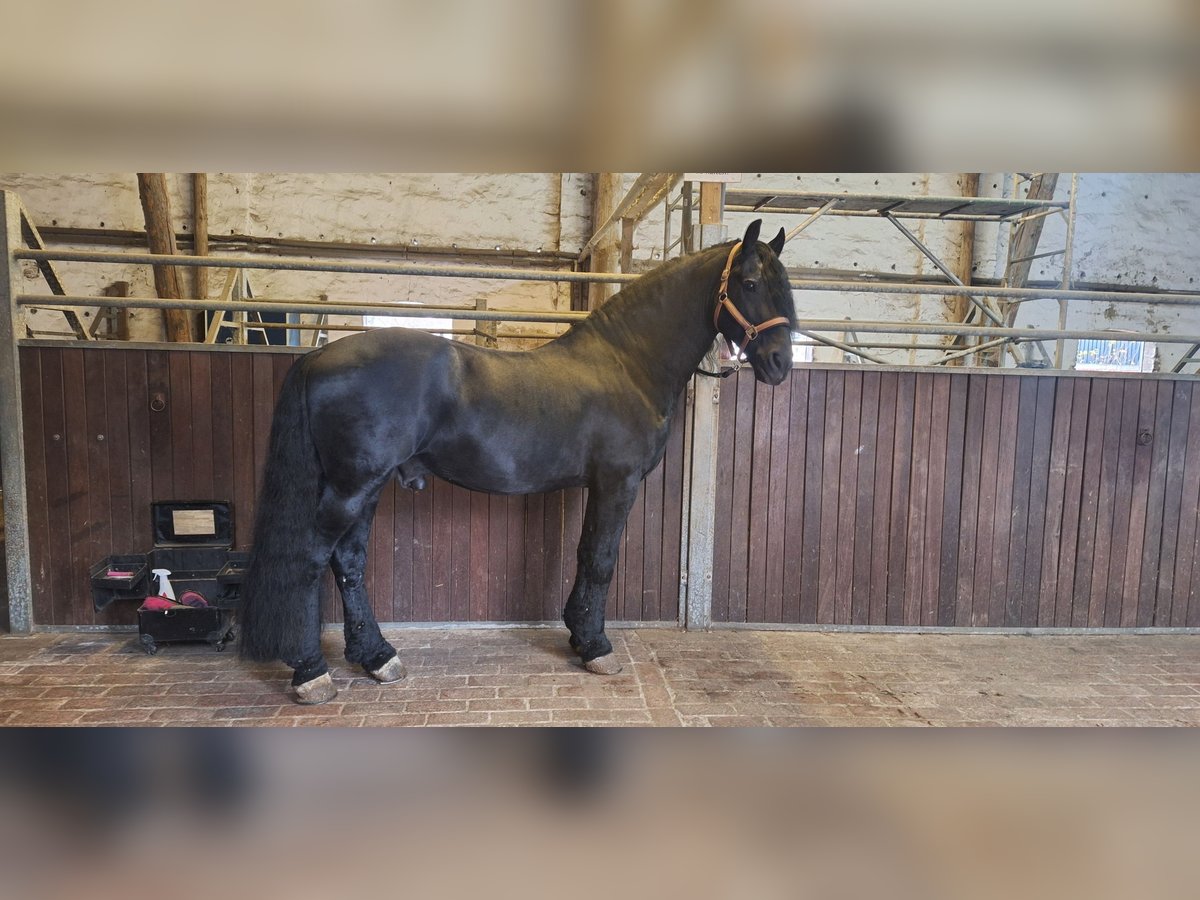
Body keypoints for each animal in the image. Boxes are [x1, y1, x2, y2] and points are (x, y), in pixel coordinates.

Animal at [238, 219, 797, 704]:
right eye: (749, 282)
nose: (779, 364)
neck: (627, 363)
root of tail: (317, 356)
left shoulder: (596, 486)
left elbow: (584, 554)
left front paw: (579, 636)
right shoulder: (618, 483)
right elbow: (600, 559)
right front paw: (596, 647)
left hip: (365, 486)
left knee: (349, 561)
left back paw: (377, 658)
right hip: (351, 486)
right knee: (311, 561)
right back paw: (312, 673)